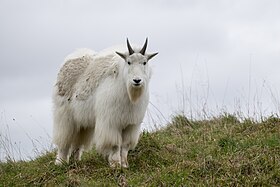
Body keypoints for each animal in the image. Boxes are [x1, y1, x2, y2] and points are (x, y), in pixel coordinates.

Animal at [52, 38, 158, 167]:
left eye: (144, 62)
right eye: (129, 62)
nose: (137, 80)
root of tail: (66, 62)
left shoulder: (131, 124)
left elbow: (125, 145)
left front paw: (125, 165)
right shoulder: (111, 122)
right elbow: (115, 144)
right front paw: (115, 165)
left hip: (82, 122)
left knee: (78, 142)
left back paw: (76, 161)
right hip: (64, 117)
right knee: (64, 141)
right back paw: (60, 163)